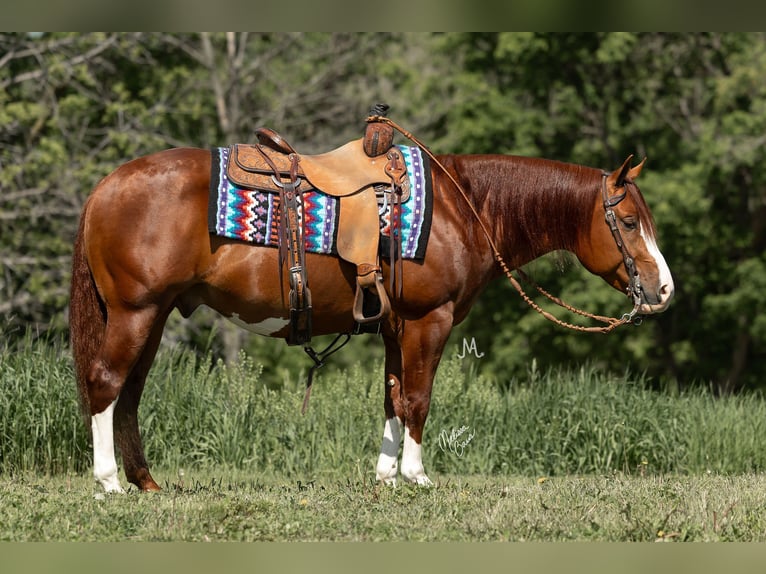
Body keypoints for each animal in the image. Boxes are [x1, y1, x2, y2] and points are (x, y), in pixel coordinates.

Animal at [69, 141, 676, 496]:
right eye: (627, 220)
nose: (664, 290)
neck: (463, 207)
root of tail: (105, 186)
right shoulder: (429, 321)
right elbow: (418, 399)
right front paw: (417, 475)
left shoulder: (393, 327)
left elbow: (392, 397)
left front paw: (386, 475)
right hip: (136, 312)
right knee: (105, 383)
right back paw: (109, 482)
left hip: (153, 316)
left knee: (129, 394)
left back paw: (146, 482)